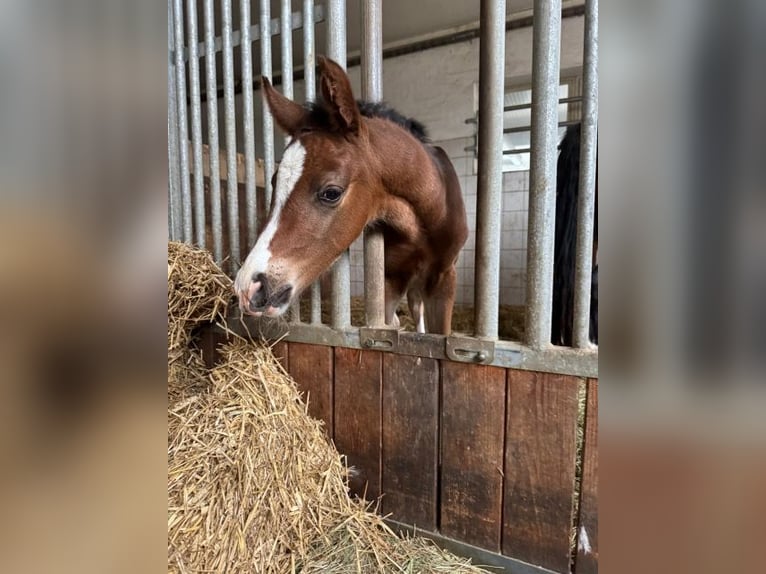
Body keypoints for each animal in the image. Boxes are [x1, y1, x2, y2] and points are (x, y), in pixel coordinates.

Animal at [233, 56, 468, 335]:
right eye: (274, 181)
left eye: (331, 193)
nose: (249, 287)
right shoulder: (391, 278)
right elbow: (386, 324)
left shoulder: (444, 278)